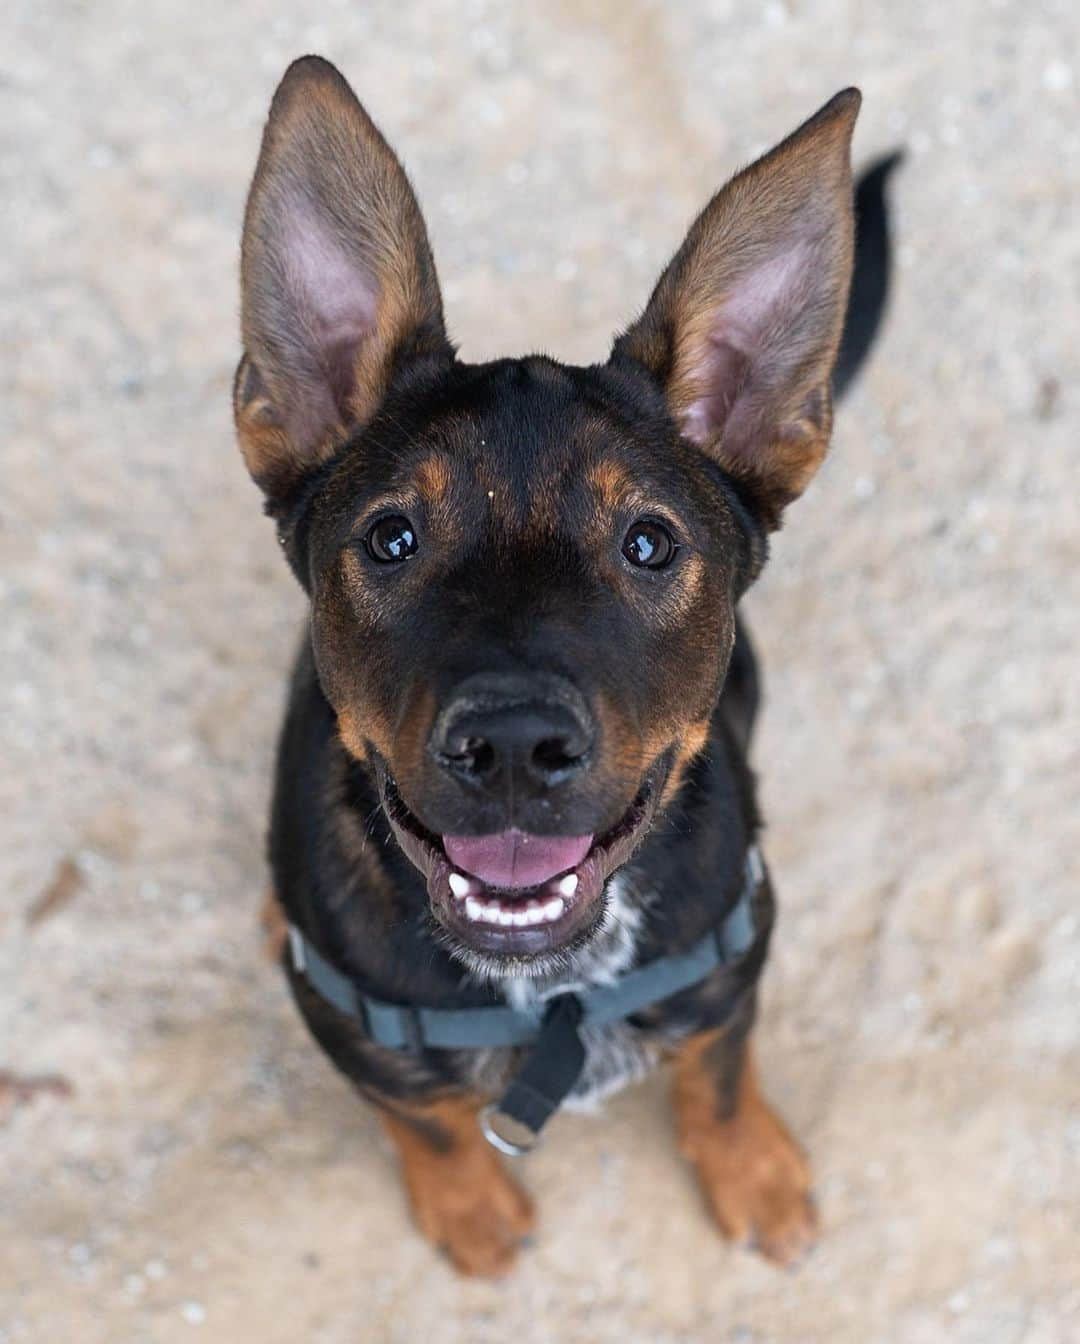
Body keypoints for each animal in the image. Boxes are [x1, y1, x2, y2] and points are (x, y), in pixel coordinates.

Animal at [233, 57, 891, 1274]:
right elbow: (427, 1119)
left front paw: (755, 1173)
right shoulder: (354, 1031)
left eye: (649, 544)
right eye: (390, 538)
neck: (553, 993)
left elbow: (719, 1075)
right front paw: (471, 1211)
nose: (512, 745)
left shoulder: (733, 958)